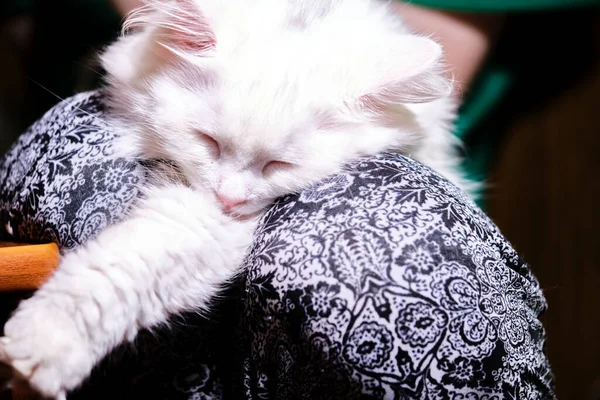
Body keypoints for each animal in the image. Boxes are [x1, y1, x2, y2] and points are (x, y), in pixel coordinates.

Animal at [0, 0, 472, 396]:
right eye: (207, 142)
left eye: (278, 166)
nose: (228, 199)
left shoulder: (206, 224)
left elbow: (113, 276)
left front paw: (42, 348)